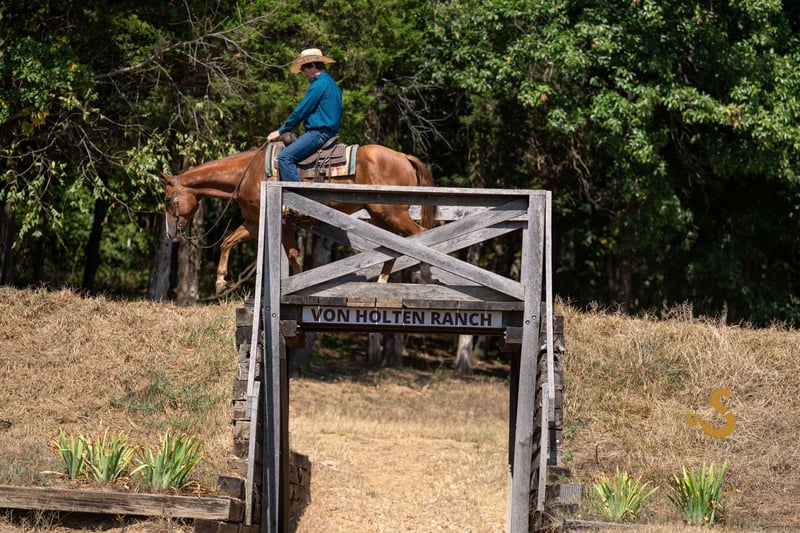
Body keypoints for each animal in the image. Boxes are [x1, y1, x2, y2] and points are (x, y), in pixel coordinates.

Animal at [163, 143, 436, 295]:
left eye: (167, 200)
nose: (170, 234)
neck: (248, 173)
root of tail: (402, 156)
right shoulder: (253, 222)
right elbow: (227, 242)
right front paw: (221, 283)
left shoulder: (281, 222)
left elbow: (293, 255)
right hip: (379, 215)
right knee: (392, 247)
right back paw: (382, 281)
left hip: (393, 213)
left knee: (418, 237)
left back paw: (425, 274)